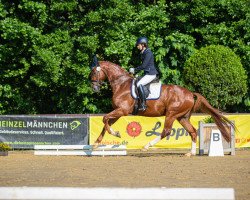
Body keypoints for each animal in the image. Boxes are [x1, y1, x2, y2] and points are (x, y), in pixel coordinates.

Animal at [90, 58, 234, 155]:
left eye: (93, 72)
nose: (94, 89)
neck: (121, 84)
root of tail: (189, 93)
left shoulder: (122, 110)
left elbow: (104, 119)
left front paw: (116, 133)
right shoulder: (118, 111)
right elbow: (106, 123)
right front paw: (96, 144)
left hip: (171, 114)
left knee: (166, 131)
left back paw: (146, 146)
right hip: (182, 117)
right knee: (192, 131)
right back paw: (191, 153)